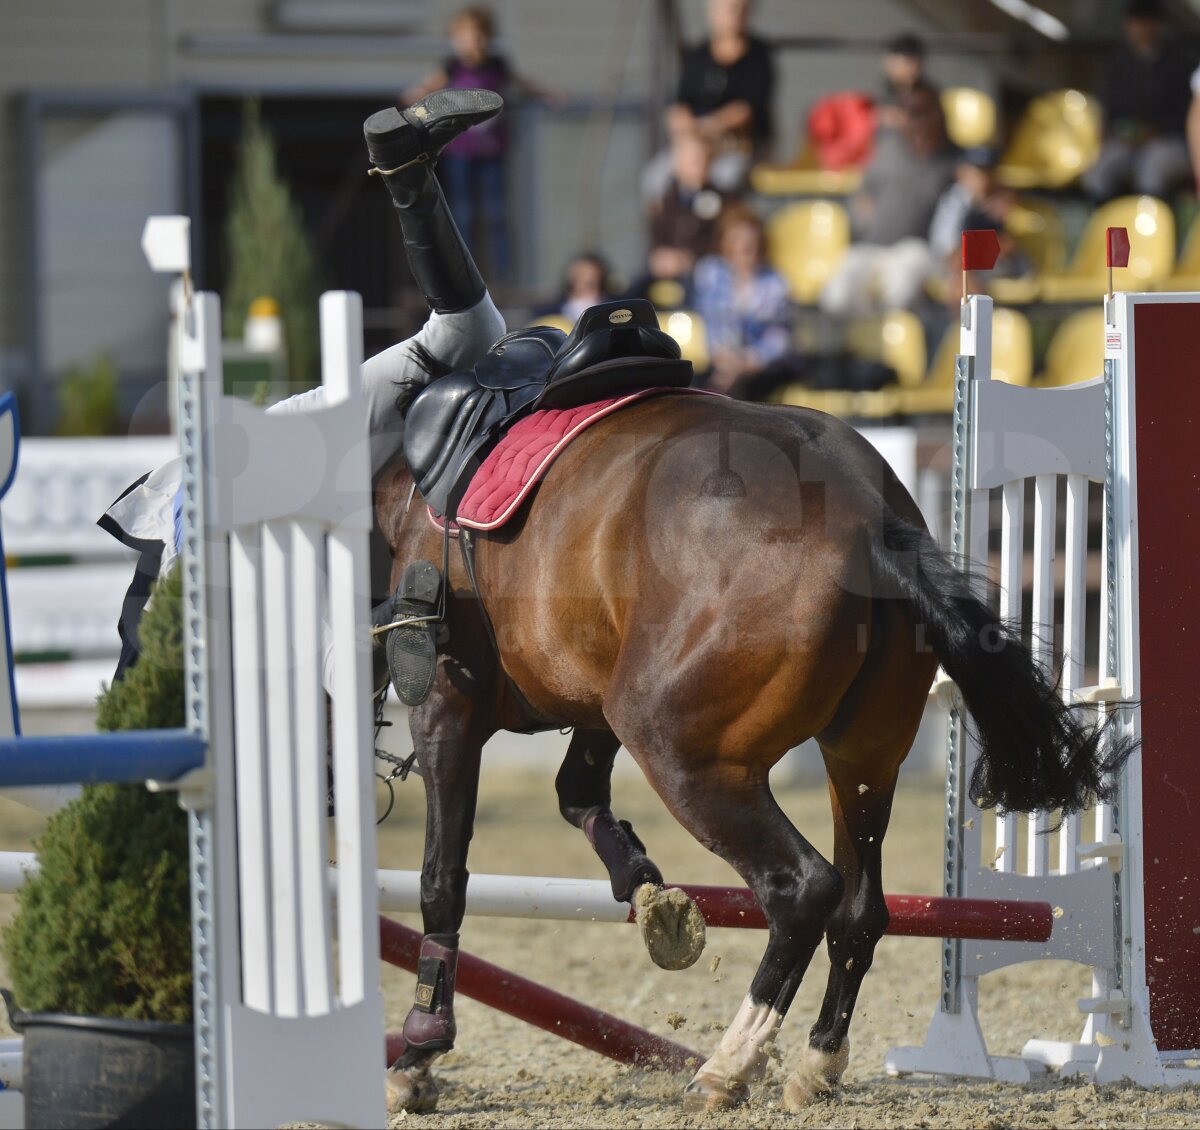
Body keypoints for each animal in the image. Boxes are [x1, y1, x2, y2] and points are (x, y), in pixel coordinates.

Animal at [376, 391, 1132, 1113]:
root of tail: (866, 518)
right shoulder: (595, 702)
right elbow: (577, 794)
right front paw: (647, 889)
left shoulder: (446, 713)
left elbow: (443, 880)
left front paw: (419, 1055)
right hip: (860, 759)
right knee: (859, 910)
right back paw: (815, 1067)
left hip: (685, 756)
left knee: (802, 889)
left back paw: (727, 1068)